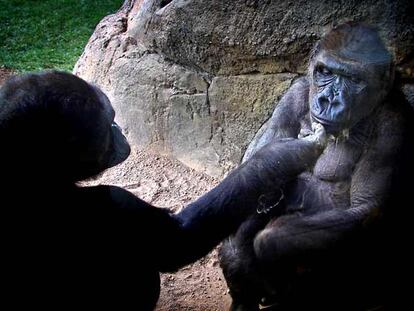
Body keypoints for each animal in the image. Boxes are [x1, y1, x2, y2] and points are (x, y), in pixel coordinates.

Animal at [218, 22, 412, 311]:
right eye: (325, 72)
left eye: (354, 79)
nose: (328, 100)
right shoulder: (294, 93)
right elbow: (257, 169)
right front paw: (238, 264)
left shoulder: (392, 121)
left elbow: (366, 208)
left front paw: (269, 244)